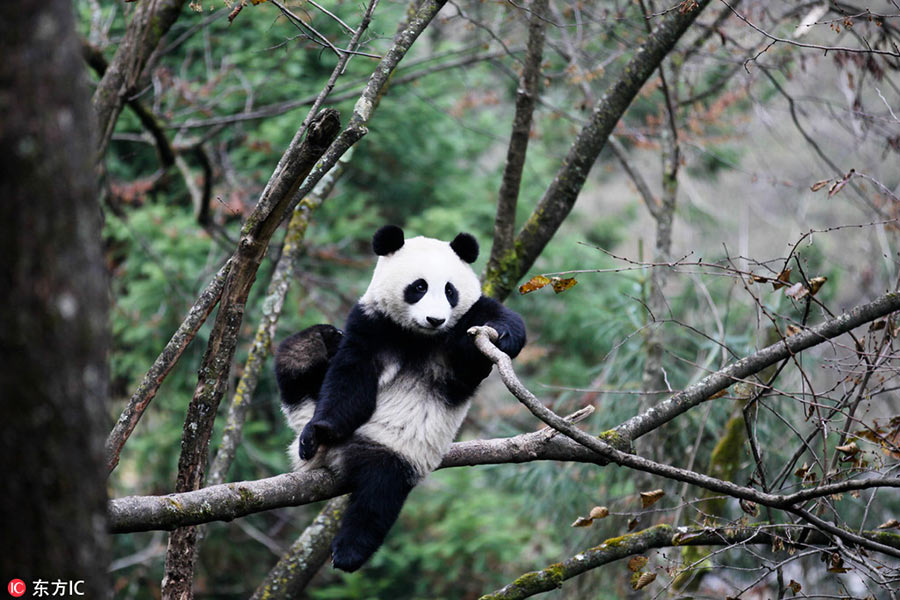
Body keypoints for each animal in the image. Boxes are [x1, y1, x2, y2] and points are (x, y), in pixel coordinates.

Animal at [276, 225, 528, 572]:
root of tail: (335, 457)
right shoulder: (371, 322)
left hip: (394, 450)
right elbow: (350, 379)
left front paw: (505, 335)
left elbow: (489, 331)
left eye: (450, 291)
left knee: (378, 495)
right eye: (419, 287)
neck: (417, 336)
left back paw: (348, 552)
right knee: (294, 354)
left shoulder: (464, 330)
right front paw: (319, 430)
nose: (435, 319)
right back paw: (316, 344)